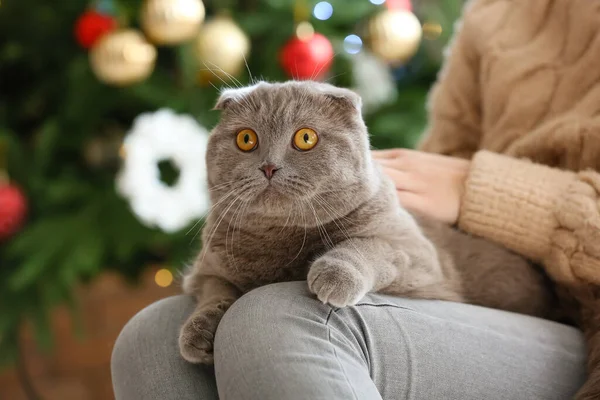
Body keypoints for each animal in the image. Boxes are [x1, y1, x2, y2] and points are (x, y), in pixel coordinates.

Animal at [179, 79, 556, 364]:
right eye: (246, 139)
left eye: (305, 138)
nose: (269, 166)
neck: (283, 240)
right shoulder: (207, 269)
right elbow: (214, 291)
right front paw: (198, 332)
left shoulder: (418, 256)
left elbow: (367, 244)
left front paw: (333, 274)